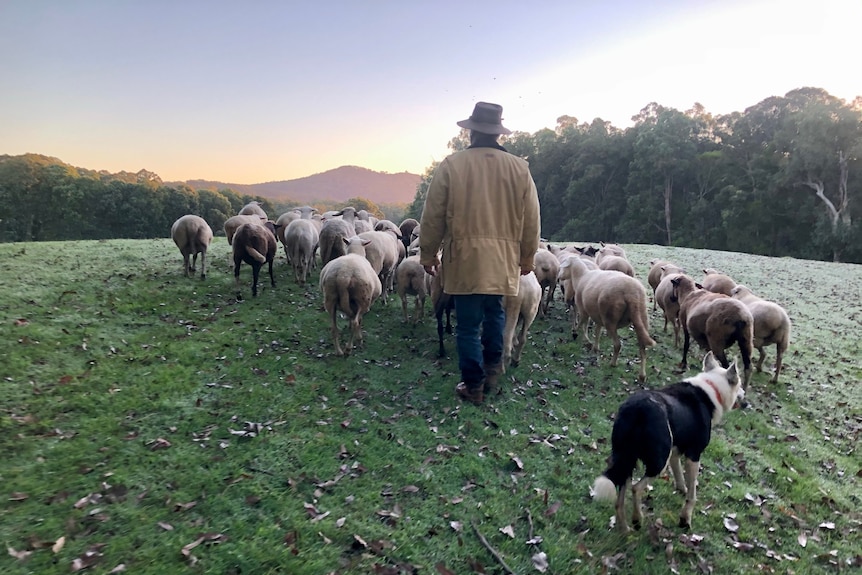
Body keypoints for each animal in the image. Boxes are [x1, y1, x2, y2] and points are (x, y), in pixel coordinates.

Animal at [592, 354, 744, 532]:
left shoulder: (675, 453)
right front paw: (685, 519)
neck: (712, 388)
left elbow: (679, 477)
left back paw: (624, 529)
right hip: (658, 461)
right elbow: (692, 494)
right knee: (636, 488)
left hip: (627, 458)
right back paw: (637, 520)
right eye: (739, 384)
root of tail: (637, 408)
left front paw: (681, 490)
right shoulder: (694, 455)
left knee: (620, 497)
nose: (744, 395)